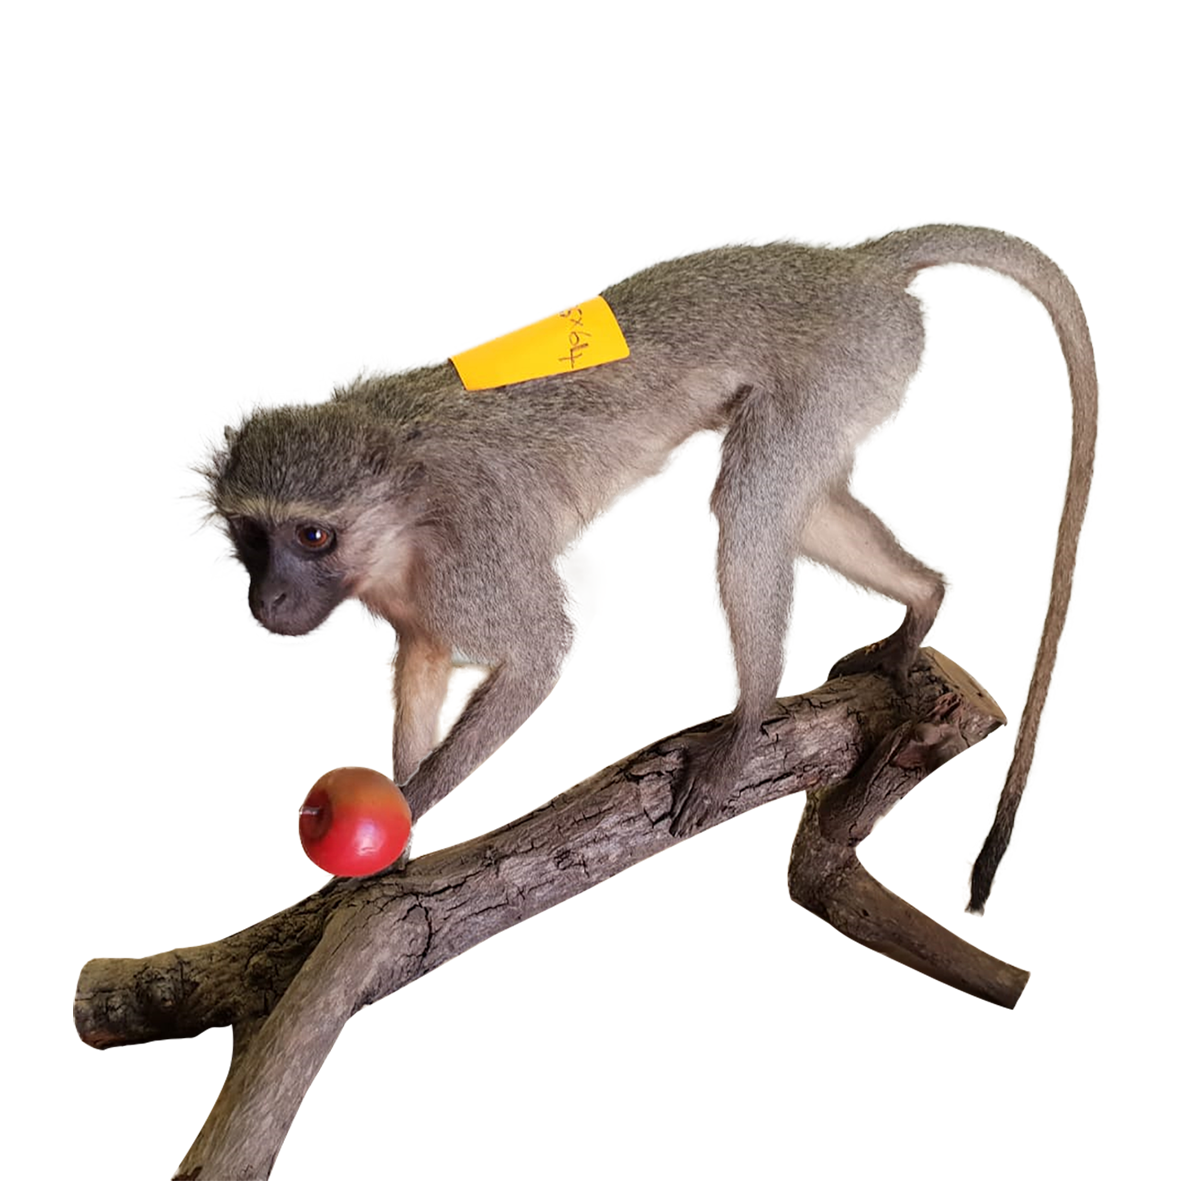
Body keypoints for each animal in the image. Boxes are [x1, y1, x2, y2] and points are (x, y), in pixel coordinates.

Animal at [205, 224, 1096, 913]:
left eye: (312, 536)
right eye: (251, 535)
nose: (269, 597)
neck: (400, 505)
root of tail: (850, 265)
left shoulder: (475, 558)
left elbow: (537, 653)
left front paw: (407, 805)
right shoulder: (417, 605)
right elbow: (422, 663)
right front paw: (392, 851)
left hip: (845, 365)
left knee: (751, 506)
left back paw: (750, 717)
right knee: (799, 505)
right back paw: (922, 602)